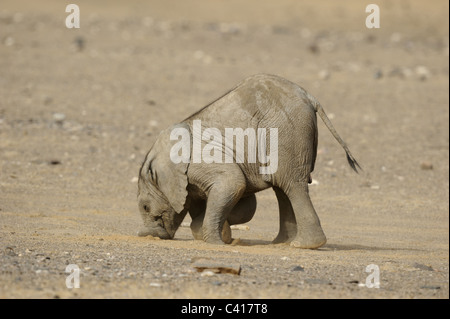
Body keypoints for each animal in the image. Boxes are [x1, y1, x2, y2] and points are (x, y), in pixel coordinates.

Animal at [135, 74, 360, 249]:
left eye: (145, 207)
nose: (146, 235)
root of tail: (309, 96)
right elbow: (244, 201)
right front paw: (220, 232)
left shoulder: (202, 161)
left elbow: (234, 184)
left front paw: (217, 242)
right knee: (282, 187)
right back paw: (281, 243)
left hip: (286, 130)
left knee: (291, 183)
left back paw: (303, 245)